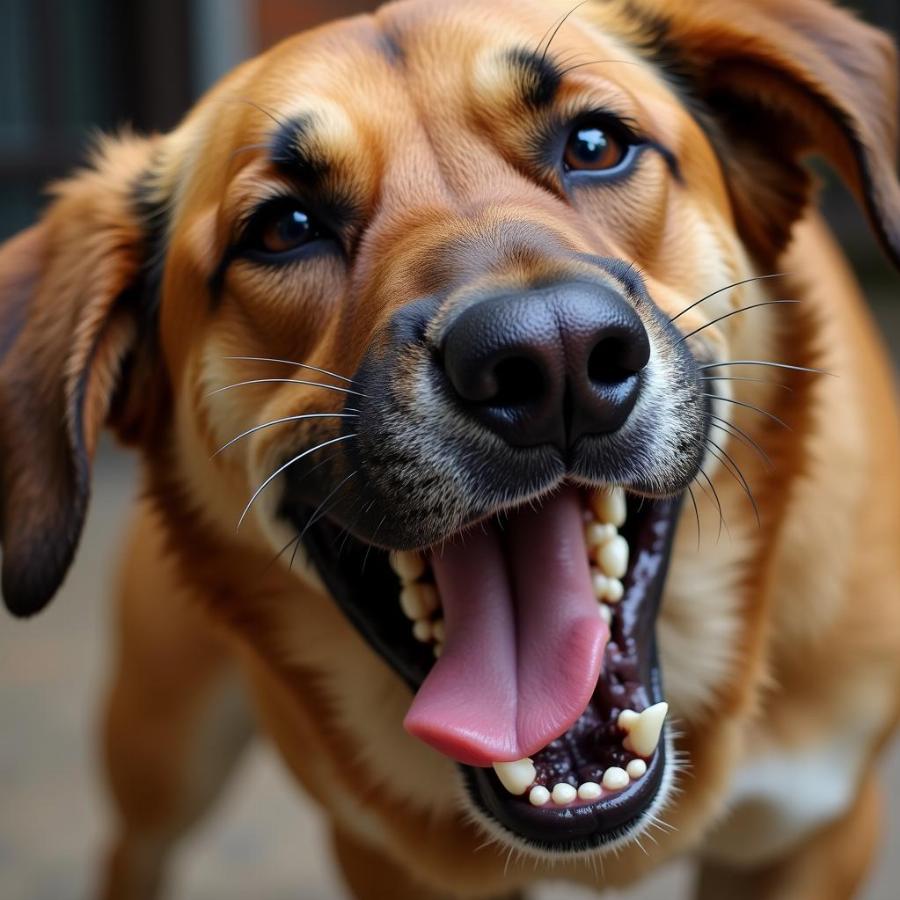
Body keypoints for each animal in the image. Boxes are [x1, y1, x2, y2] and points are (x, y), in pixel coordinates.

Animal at [1, 0, 900, 896]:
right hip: (162, 748)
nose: (553, 357)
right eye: (285, 228)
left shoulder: (816, 830)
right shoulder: (385, 860)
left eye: (595, 145)